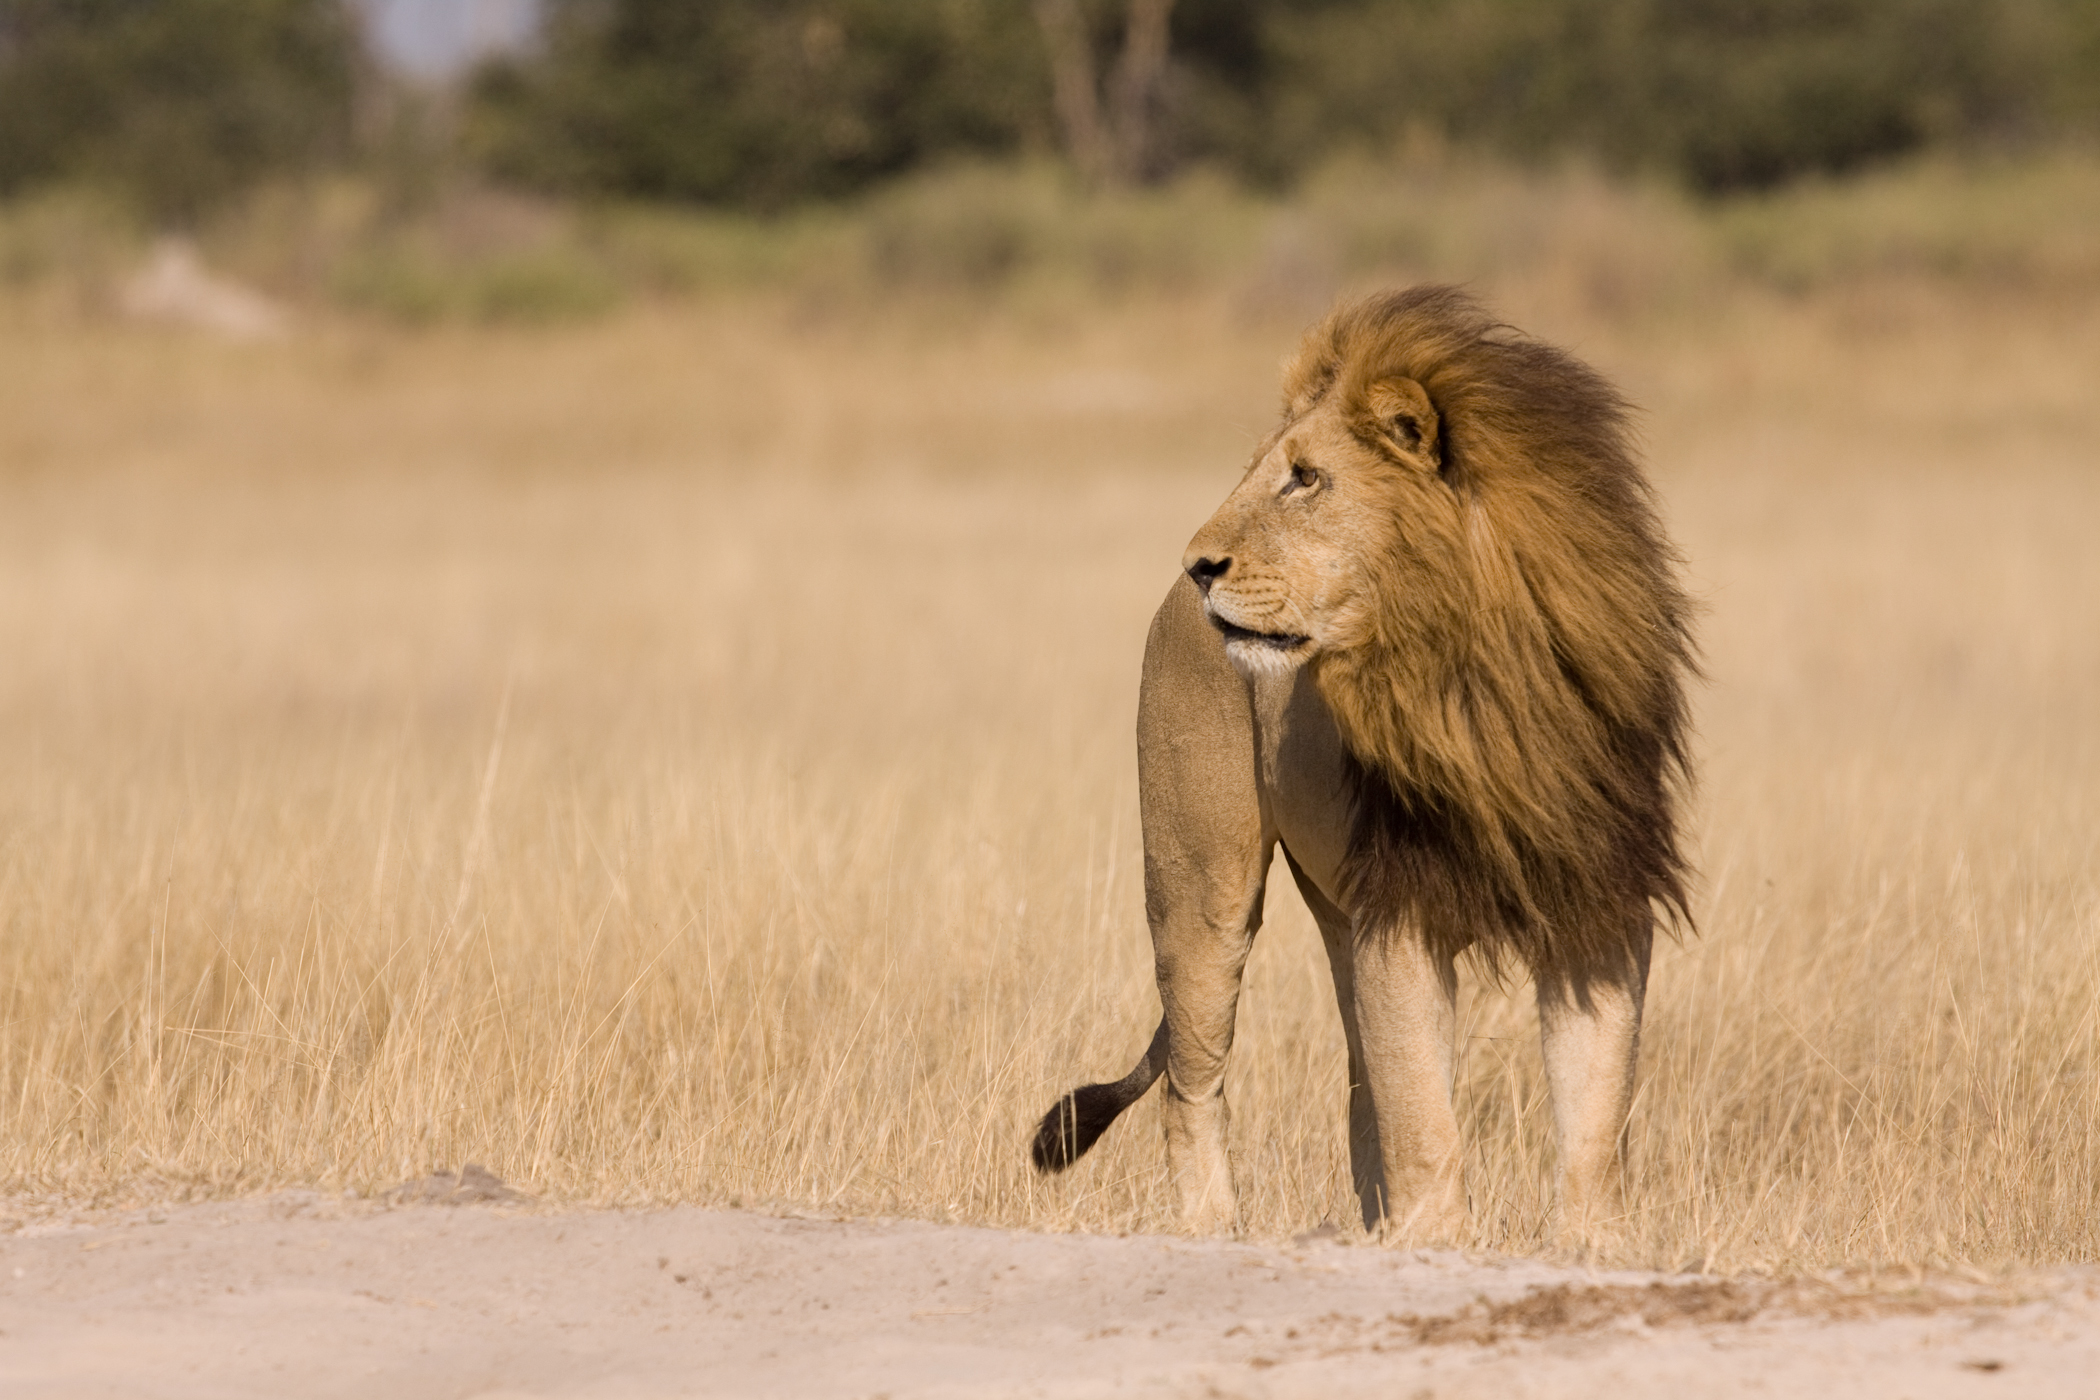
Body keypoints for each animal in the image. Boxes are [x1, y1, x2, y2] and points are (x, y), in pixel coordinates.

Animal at [1024, 281, 1696, 1234]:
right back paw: (1213, 1227)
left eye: (1306, 478)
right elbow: (1426, 1115)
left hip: (1340, 915)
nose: (1198, 564)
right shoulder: (1403, 904)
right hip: (1202, 892)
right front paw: (1432, 1240)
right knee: (1192, 1086)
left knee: (1357, 1084)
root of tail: (1168, 608)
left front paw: (1591, 1246)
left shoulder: (1597, 894)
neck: (1473, 674)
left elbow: (1594, 1114)